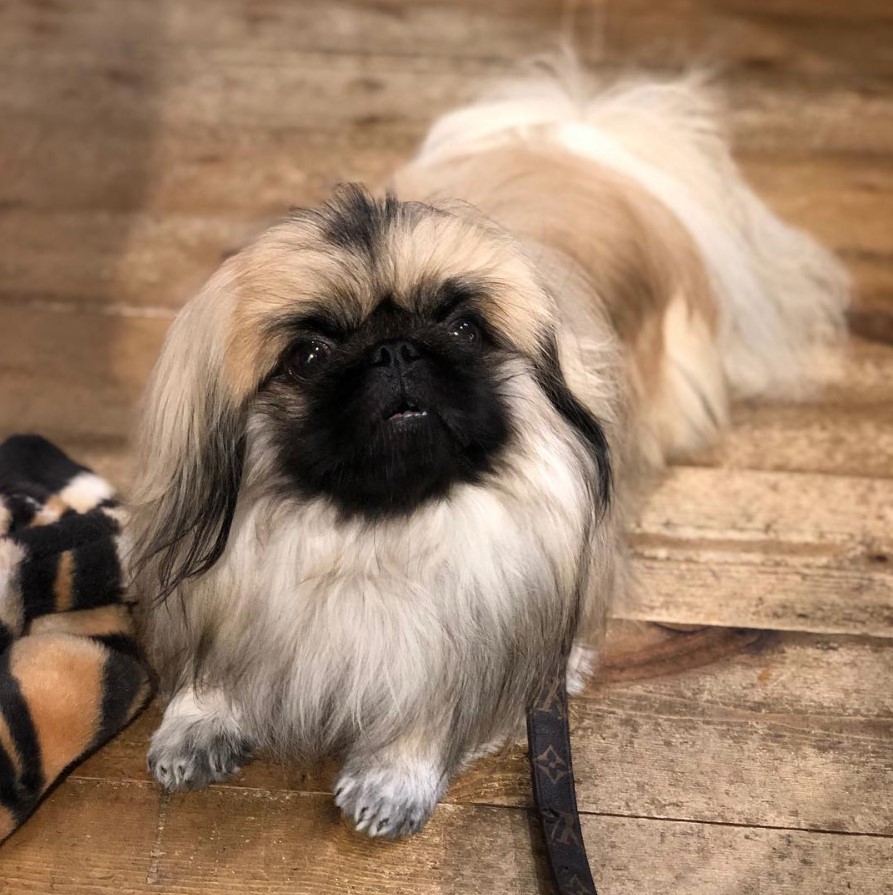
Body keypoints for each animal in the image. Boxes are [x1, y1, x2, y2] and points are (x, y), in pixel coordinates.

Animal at [129, 66, 848, 836]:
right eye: (310, 355)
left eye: (464, 329)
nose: (395, 349)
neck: (374, 531)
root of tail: (584, 151)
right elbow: (214, 661)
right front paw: (199, 721)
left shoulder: (476, 626)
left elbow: (432, 704)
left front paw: (392, 779)